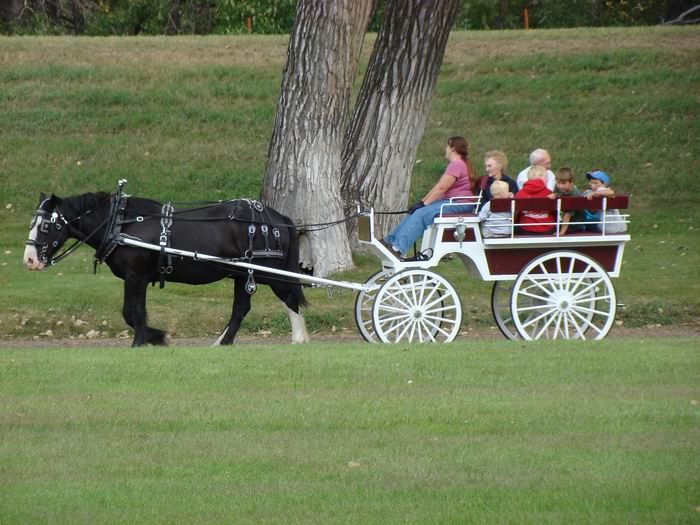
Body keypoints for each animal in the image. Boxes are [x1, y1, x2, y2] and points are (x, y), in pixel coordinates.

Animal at [23, 190, 308, 346]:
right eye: (32, 223)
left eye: (46, 225)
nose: (29, 260)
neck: (122, 224)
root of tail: (278, 219)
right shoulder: (133, 278)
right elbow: (130, 314)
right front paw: (154, 337)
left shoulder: (136, 277)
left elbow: (135, 313)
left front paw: (144, 341)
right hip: (242, 273)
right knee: (241, 308)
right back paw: (221, 342)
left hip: (268, 272)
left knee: (289, 299)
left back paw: (300, 339)